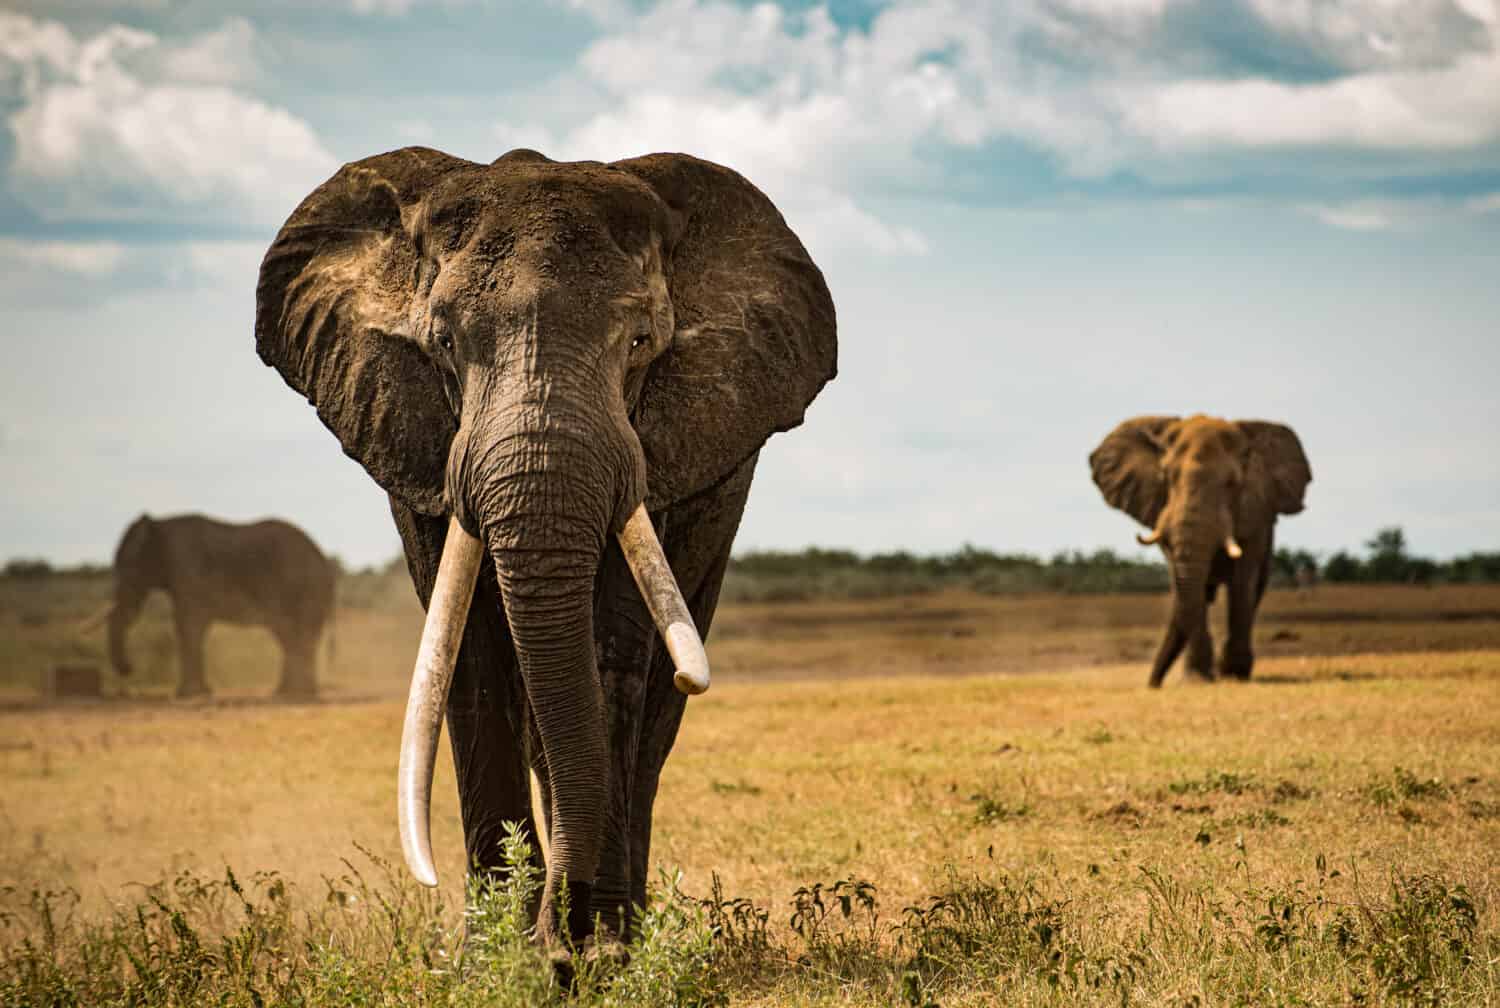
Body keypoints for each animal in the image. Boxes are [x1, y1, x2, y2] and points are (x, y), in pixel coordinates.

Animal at [96, 516, 337, 696]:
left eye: (131, 568)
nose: (129, 669)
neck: (160, 524)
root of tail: (323, 557)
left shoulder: (188, 569)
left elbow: (187, 625)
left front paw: (190, 694)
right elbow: (189, 626)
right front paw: (199, 692)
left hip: (304, 587)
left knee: (293, 633)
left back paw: (296, 693)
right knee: (291, 636)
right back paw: (290, 692)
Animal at [259, 145, 846, 966]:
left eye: (639, 343)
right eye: (443, 344)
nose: (559, 948)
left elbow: (612, 656)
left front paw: (598, 956)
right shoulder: (417, 444)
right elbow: (469, 657)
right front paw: (495, 958)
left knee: (654, 713)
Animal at [1092, 414, 1314, 690]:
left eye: (1232, 484)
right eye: (1166, 478)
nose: (1153, 684)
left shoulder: (1255, 513)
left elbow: (1242, 581)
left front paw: (1233, 674)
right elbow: (1188, 586)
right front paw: (1197, 679)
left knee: (1253, 590)